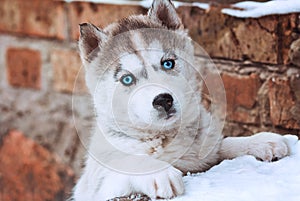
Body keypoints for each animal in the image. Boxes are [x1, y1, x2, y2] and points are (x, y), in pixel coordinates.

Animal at [73, 0, 292, 200]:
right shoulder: (95, 186)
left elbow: (223, 144)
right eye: (127, 79)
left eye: (168, 63)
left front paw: (260, 141)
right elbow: (130, 164)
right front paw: (159, 173)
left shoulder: (204, 153)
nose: (163, 100)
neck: (165, 137)